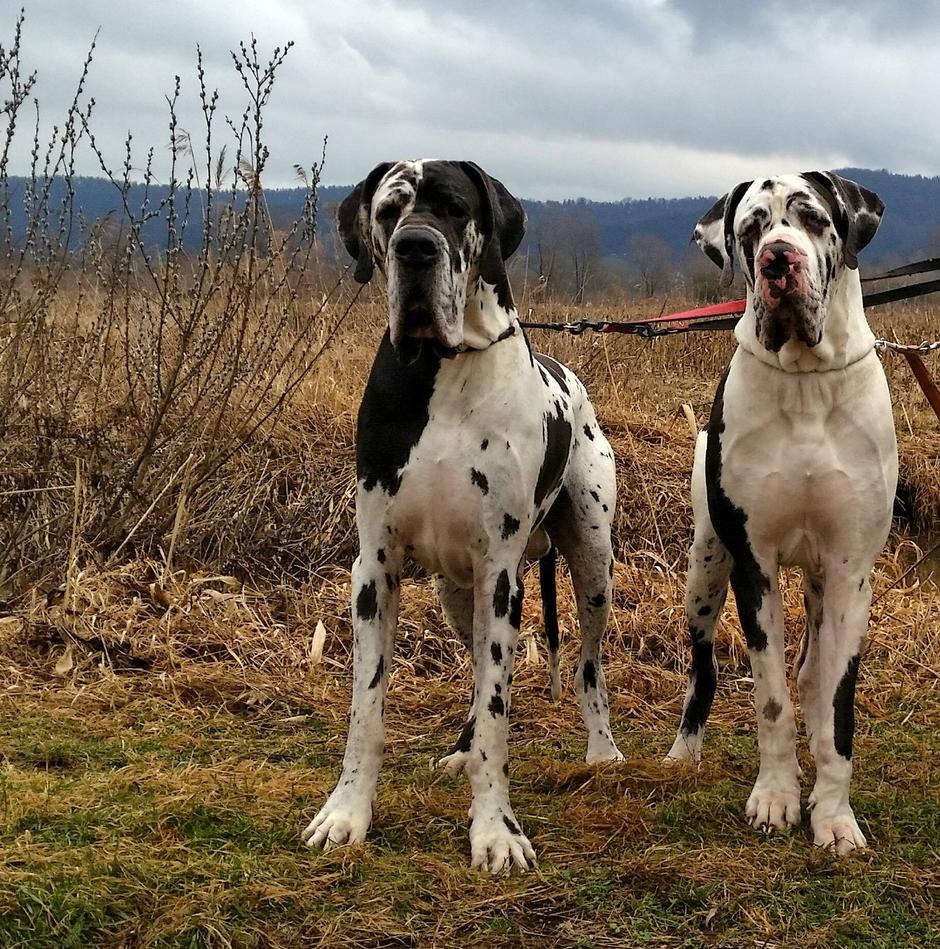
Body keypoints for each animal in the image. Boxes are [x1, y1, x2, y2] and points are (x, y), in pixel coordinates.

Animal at [664, 172, 900, 860]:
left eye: (813, 218)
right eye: (751, 228)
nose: (777, 260)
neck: (807, 383)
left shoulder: (850, 573)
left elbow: (836, 708)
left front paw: (834, 817)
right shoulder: (755, 567)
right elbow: (769, 699)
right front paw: (775, 798)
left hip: (821, 586)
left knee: (815, 676)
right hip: (704, 572)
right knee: (704, 668)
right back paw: (684, 751)